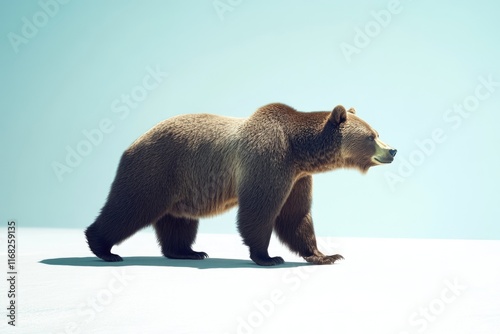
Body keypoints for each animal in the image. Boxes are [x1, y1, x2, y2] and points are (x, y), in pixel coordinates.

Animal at [87, 103, 398, 264]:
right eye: (372, 136)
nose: (392, 150)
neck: (299, 149)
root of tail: (134, 142)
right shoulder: (269, 159)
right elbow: (260, 210)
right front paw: (268, 257)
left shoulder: (298, 177)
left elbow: (296, 216)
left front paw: (326, 254)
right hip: (157, 168)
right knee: (130, 206)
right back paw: (103, 248)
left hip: (181, 184)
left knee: (178, 220)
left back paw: (189, 252)